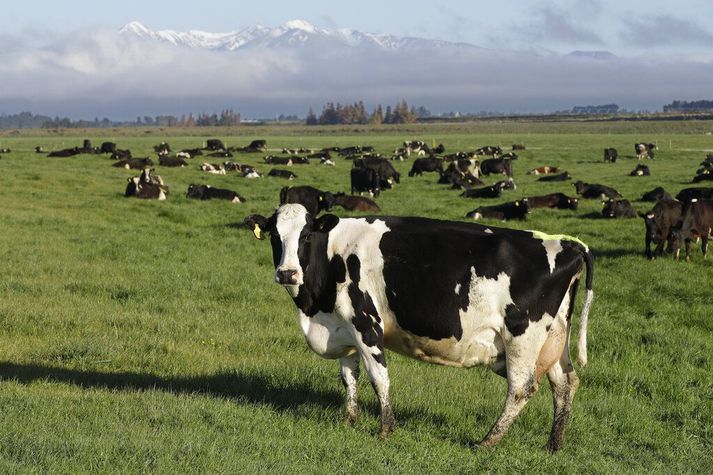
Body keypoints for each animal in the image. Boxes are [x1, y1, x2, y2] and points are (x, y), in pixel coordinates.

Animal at [245, 203, 596, 452]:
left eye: (305, 236)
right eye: (275, 237)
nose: (288, 273)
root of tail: (568, 244)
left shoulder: (366, 324)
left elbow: (379, 378)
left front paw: (386, 429)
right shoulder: (343, 328)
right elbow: (349, 378)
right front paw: (348, 421)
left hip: (523, 335)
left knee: (522, 387)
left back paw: (488, 441)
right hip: (554, 337)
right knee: (565, 383)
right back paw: (554, 444)